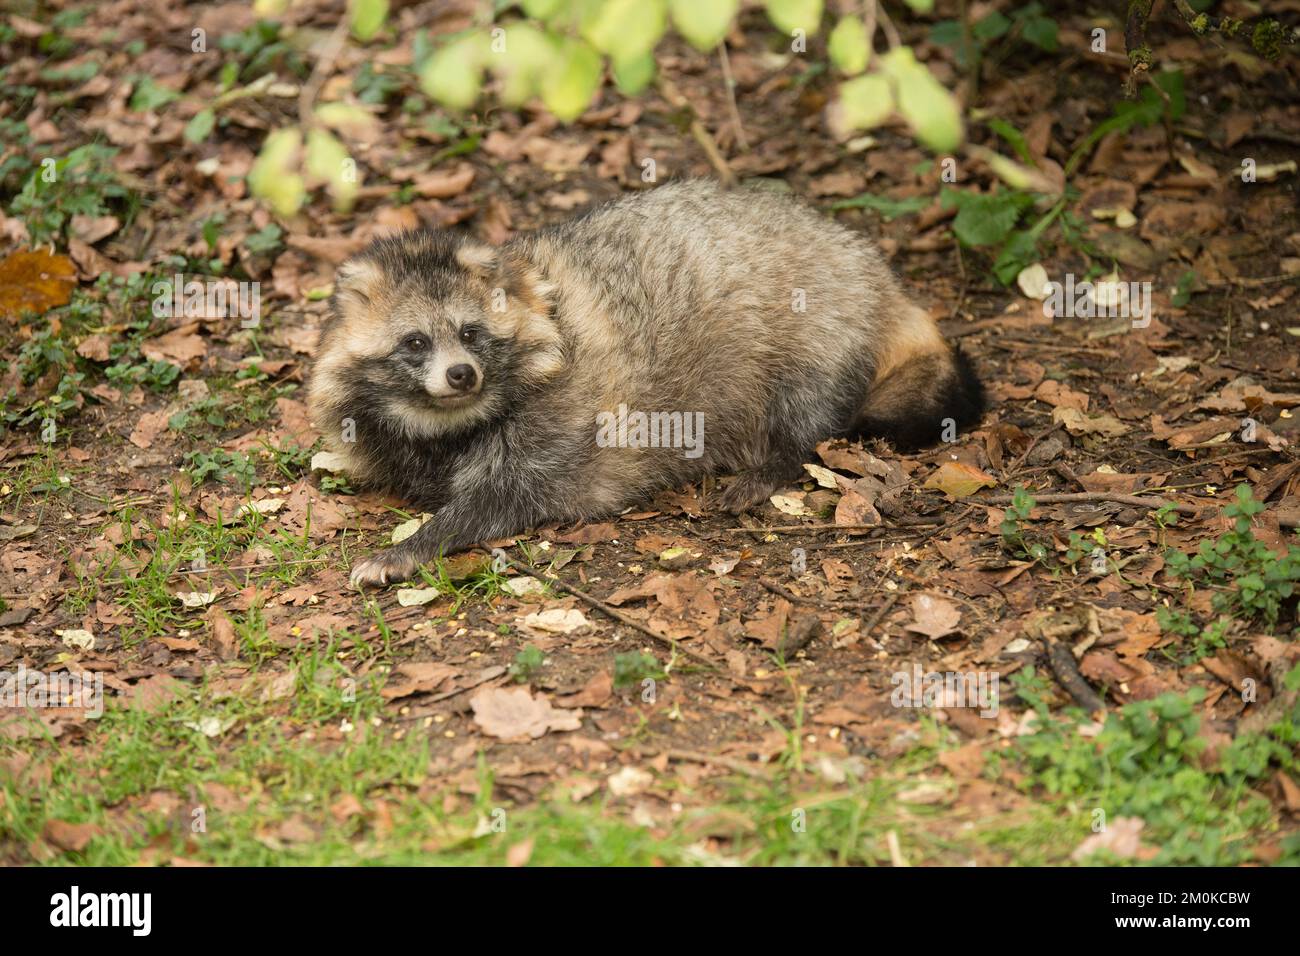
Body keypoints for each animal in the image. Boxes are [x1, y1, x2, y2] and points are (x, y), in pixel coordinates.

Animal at [309, 176, 977, 587]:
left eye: (471, 333)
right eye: (415, 342)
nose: (460, 374)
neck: (448, 417)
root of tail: (871, 266)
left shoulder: (562, 423)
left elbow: (498, 499)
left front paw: (414, 544)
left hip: (817, 320)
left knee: (806, 402)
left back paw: (775, 462)